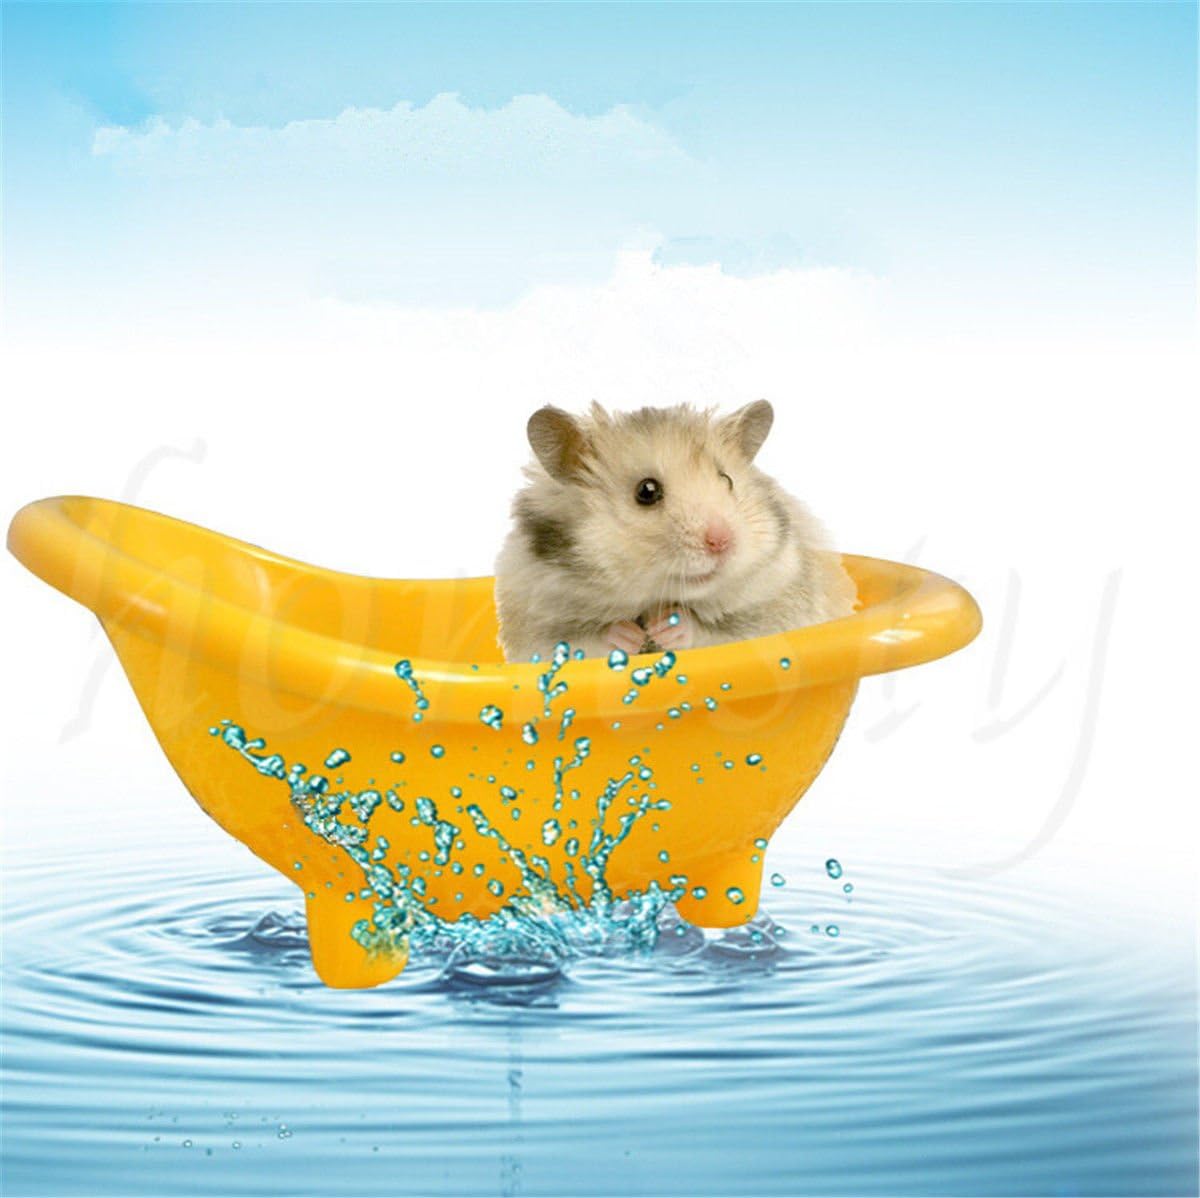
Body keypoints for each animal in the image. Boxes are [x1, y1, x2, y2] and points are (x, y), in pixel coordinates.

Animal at [494, 401, 856, 663]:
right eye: (647, 491)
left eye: (727, 480)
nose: (722, 542)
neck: (656, 598)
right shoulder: (538, 631)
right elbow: (582, 642)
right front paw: (628, 635)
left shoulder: (773, 615)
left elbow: (716, 634)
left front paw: (668, 628)